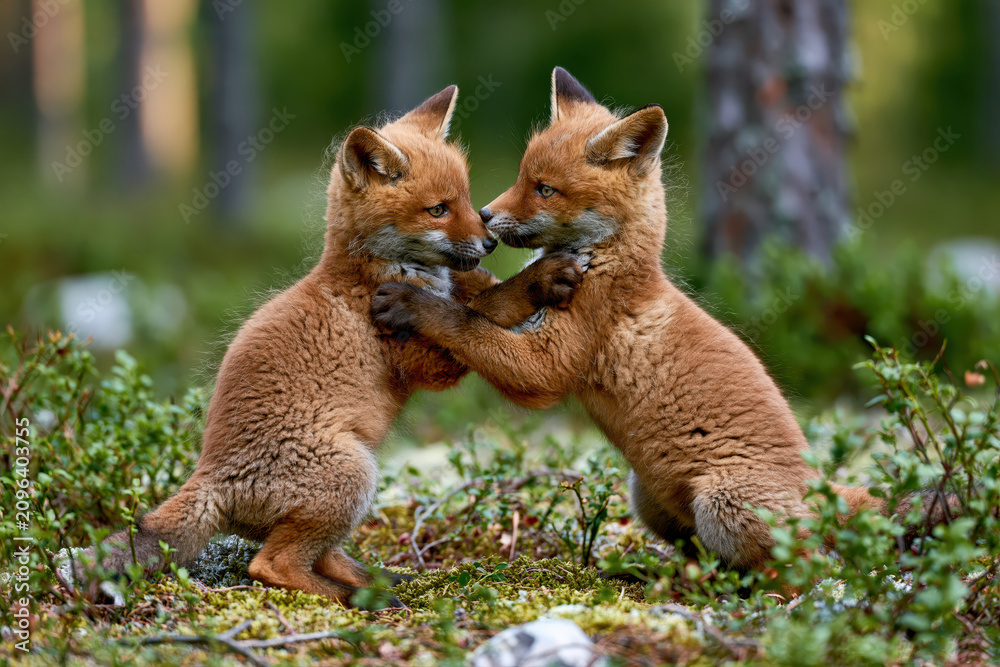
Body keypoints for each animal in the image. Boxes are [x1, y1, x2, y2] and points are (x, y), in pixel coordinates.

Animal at [75, 85, 583, 606]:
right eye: (438, 209)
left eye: (465, 199)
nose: (489, 243)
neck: (376, 273)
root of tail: (211, 475)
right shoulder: (426, 362)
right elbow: (478, 311)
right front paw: (535, 281)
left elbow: (476, 299)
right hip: (352, 473)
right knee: (271, 566)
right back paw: (361, 598)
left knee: (321, 555)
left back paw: (381, 580)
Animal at [372, 68, 959, 575]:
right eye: (521, 176)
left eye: (544, 188)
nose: (487, 219)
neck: (608, 265)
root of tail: (821, 491)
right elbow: (485, 296)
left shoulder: (549, 365)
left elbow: (464, 324)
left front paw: (414, 304)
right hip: (646, 495)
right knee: (702, 555)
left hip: (723, 503)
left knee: (807, 569)